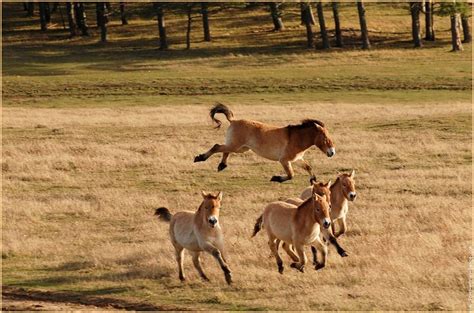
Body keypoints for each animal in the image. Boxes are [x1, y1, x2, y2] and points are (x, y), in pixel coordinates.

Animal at [193, 102, 336, 182]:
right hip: (236, 146)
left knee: (224, 150)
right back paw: (200, 158)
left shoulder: (297, 160)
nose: (332, 153)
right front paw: (275, 178)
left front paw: (313, 181)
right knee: (217, 147)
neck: (296, 138)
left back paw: (221, 165)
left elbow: (308, 167)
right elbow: (291, 175)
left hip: (240, 148)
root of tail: (234, 120)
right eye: (325, 138)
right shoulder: (284, 161)